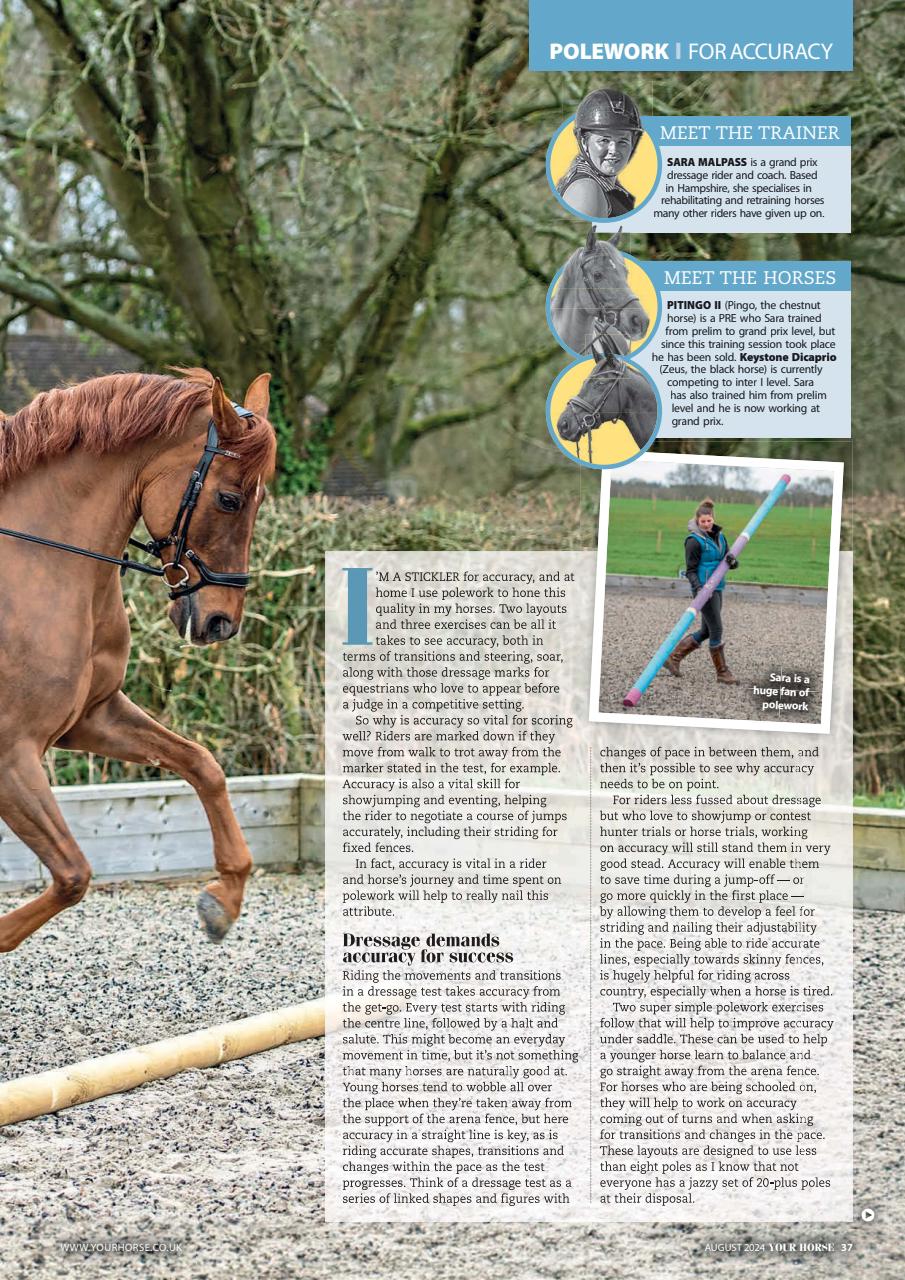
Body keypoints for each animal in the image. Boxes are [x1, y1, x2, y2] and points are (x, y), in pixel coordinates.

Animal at [0, 368, 277, 951]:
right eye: (229, 499)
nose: (221, 623)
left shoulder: (91, 717)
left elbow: (203, 764)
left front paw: (223, 901)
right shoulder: (12, 753)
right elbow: (73, 874)